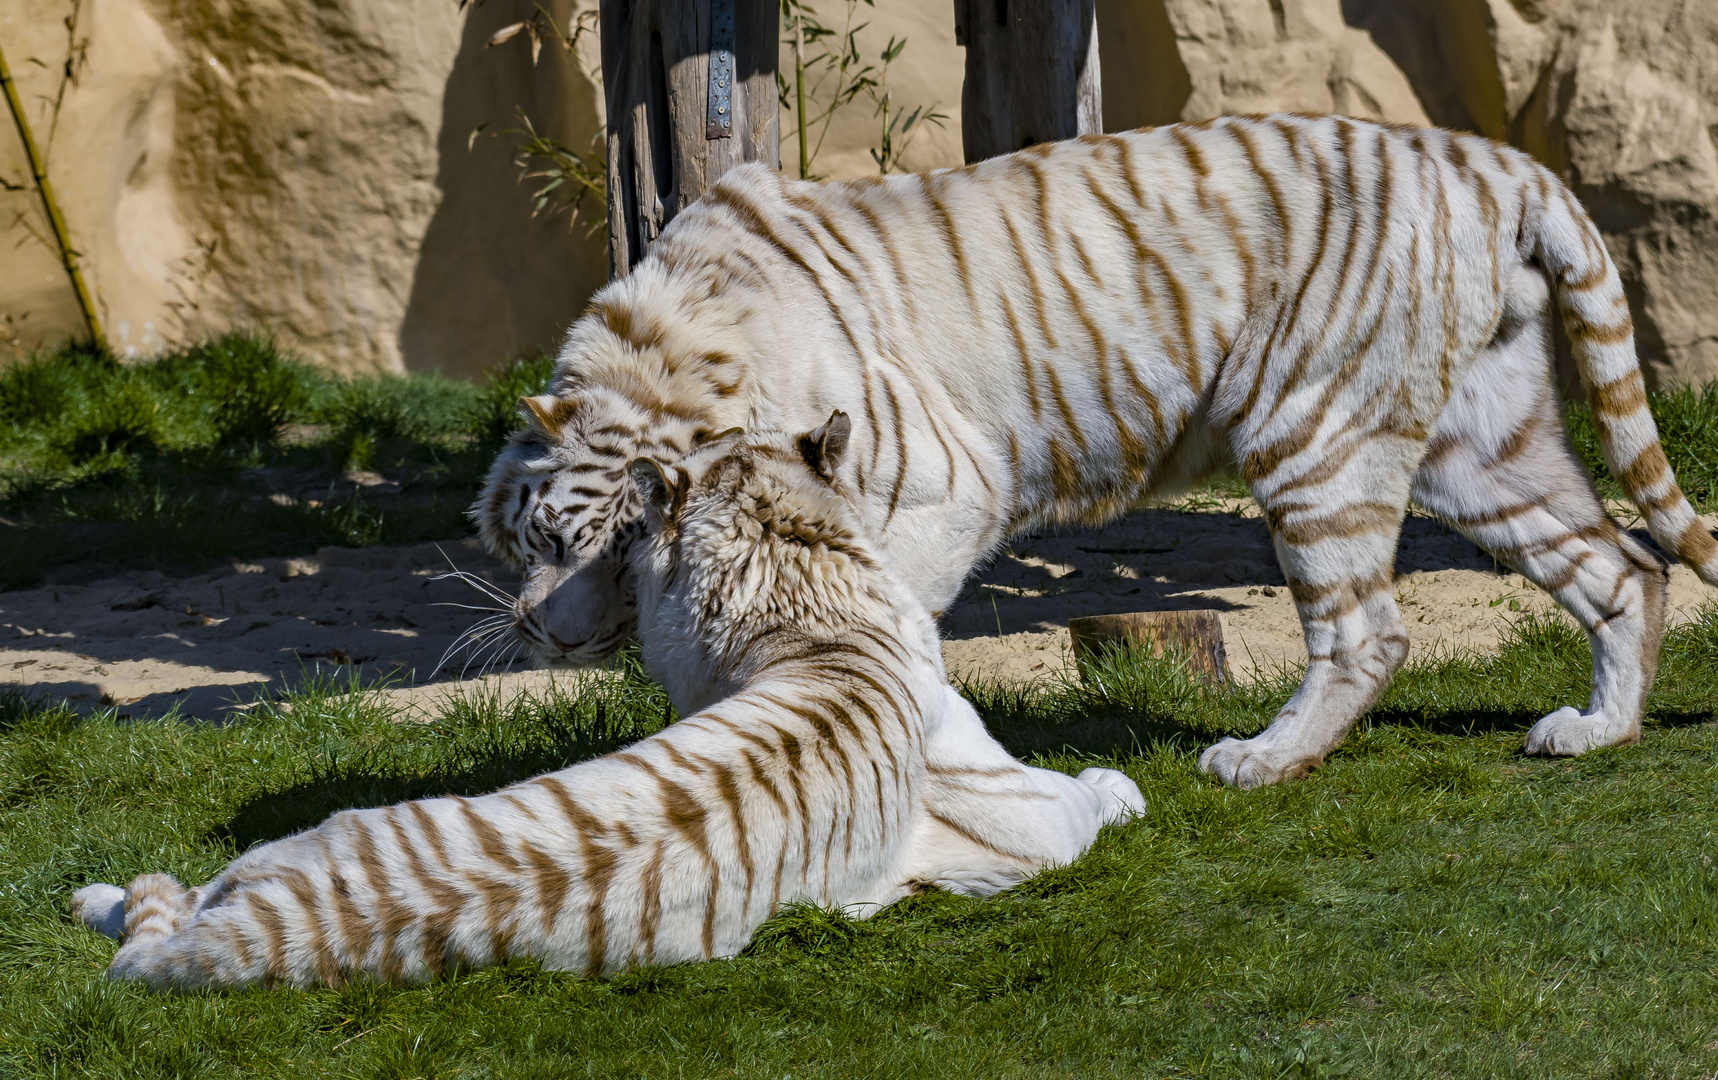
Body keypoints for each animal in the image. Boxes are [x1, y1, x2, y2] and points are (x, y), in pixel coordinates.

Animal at [73, 418, 1140, 988]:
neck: (801, 607)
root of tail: (282, 926)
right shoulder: (1022, 821)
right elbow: (1084, 798)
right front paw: (1121, 783)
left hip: (288, 846)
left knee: (167, 908)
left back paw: (89, 895)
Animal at [477, 113, 1718, 786]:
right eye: (550, 539)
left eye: (625, 542)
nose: (549, 633)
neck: (685, 351)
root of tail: (1494, 163)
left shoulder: (937, 492)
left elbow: (863, 625)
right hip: (1481, 445)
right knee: (1621, 567)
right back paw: (1595, 730)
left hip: (1312, 430)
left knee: (1367, 631)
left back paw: (1260, 759)